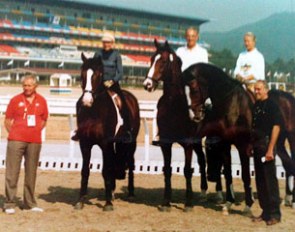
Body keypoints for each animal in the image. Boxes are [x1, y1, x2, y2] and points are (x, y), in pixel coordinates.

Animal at [73, 53, 139, 212]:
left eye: (98, 75)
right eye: (82, 74)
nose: (87, 101)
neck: (94, 111)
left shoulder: (105, 144)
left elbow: (105, 170)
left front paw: (108, 203)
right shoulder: (85, 144)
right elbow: (85, 171)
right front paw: (80, 200)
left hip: (131, 143)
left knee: (131, 164)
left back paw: (130, 193)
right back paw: (113, 191)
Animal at [145, 40, 212, 212]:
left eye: (163, 61)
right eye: (151, 59)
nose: (147, 84)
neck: (174, 105)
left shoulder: (187, 143)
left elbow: (187, 170)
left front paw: (188, 203)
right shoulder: (166, 143)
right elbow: (167, 170)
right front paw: (166, 202)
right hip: (197, 141)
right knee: (202, 160)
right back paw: (203, 192)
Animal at [184, 61, 295, 212]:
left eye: (194, 89)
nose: (195, 115)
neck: (232, 105)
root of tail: (289, 97)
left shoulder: (243, 146)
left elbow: (245, 175)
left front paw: (248, 204)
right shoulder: (225, 144)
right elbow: (228, 172)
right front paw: (228, 202)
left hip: (291, 138)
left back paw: (292, 200)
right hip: (278, 142)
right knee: (288, 164)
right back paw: (287, 199)